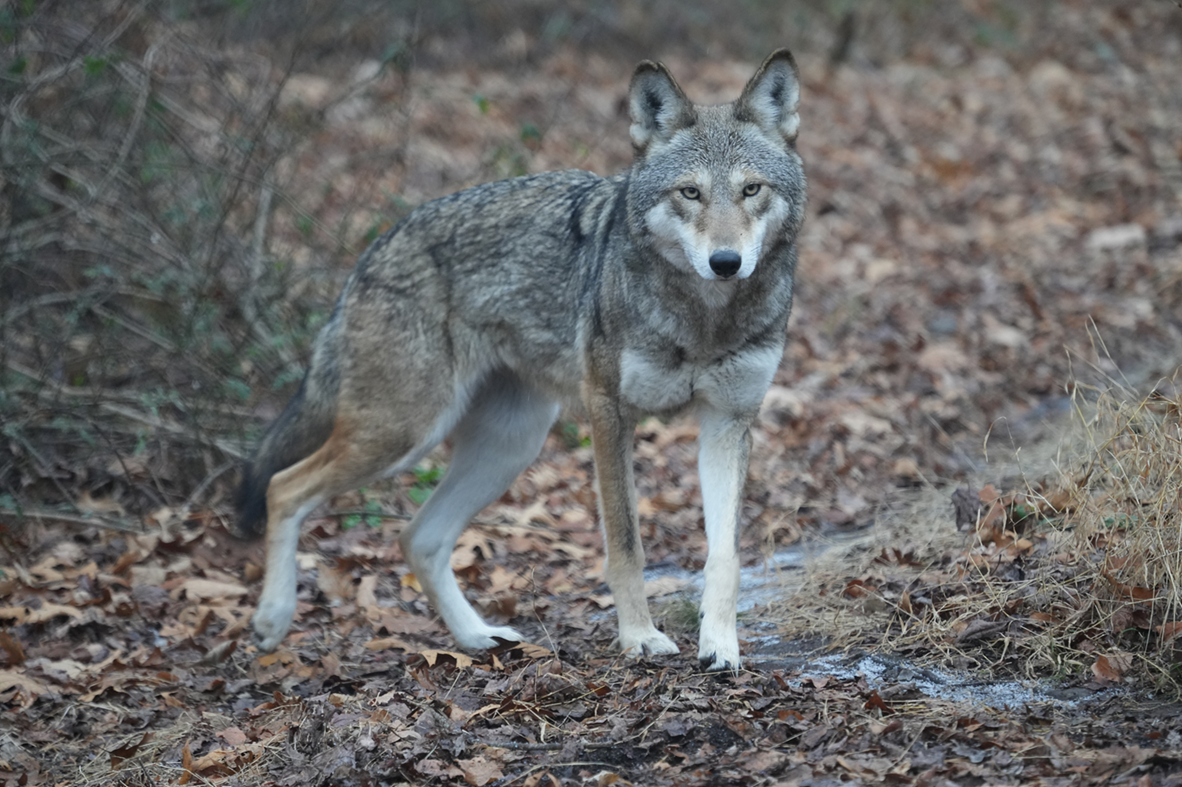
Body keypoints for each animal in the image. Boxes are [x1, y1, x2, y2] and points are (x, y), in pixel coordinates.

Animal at [235, 49, 806, 671]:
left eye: (751, 190)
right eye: (690, 193)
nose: (726, 262)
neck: (704, 319)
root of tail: (374, 249)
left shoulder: (728, 422)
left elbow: (725, 555)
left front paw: (721, 645)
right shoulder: (610, 414)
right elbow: (626, 545)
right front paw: (639, 637)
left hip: (506, 447)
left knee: (418, 538)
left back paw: (477, 637)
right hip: (402, 435)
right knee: (283, 488)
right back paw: (273, 619)